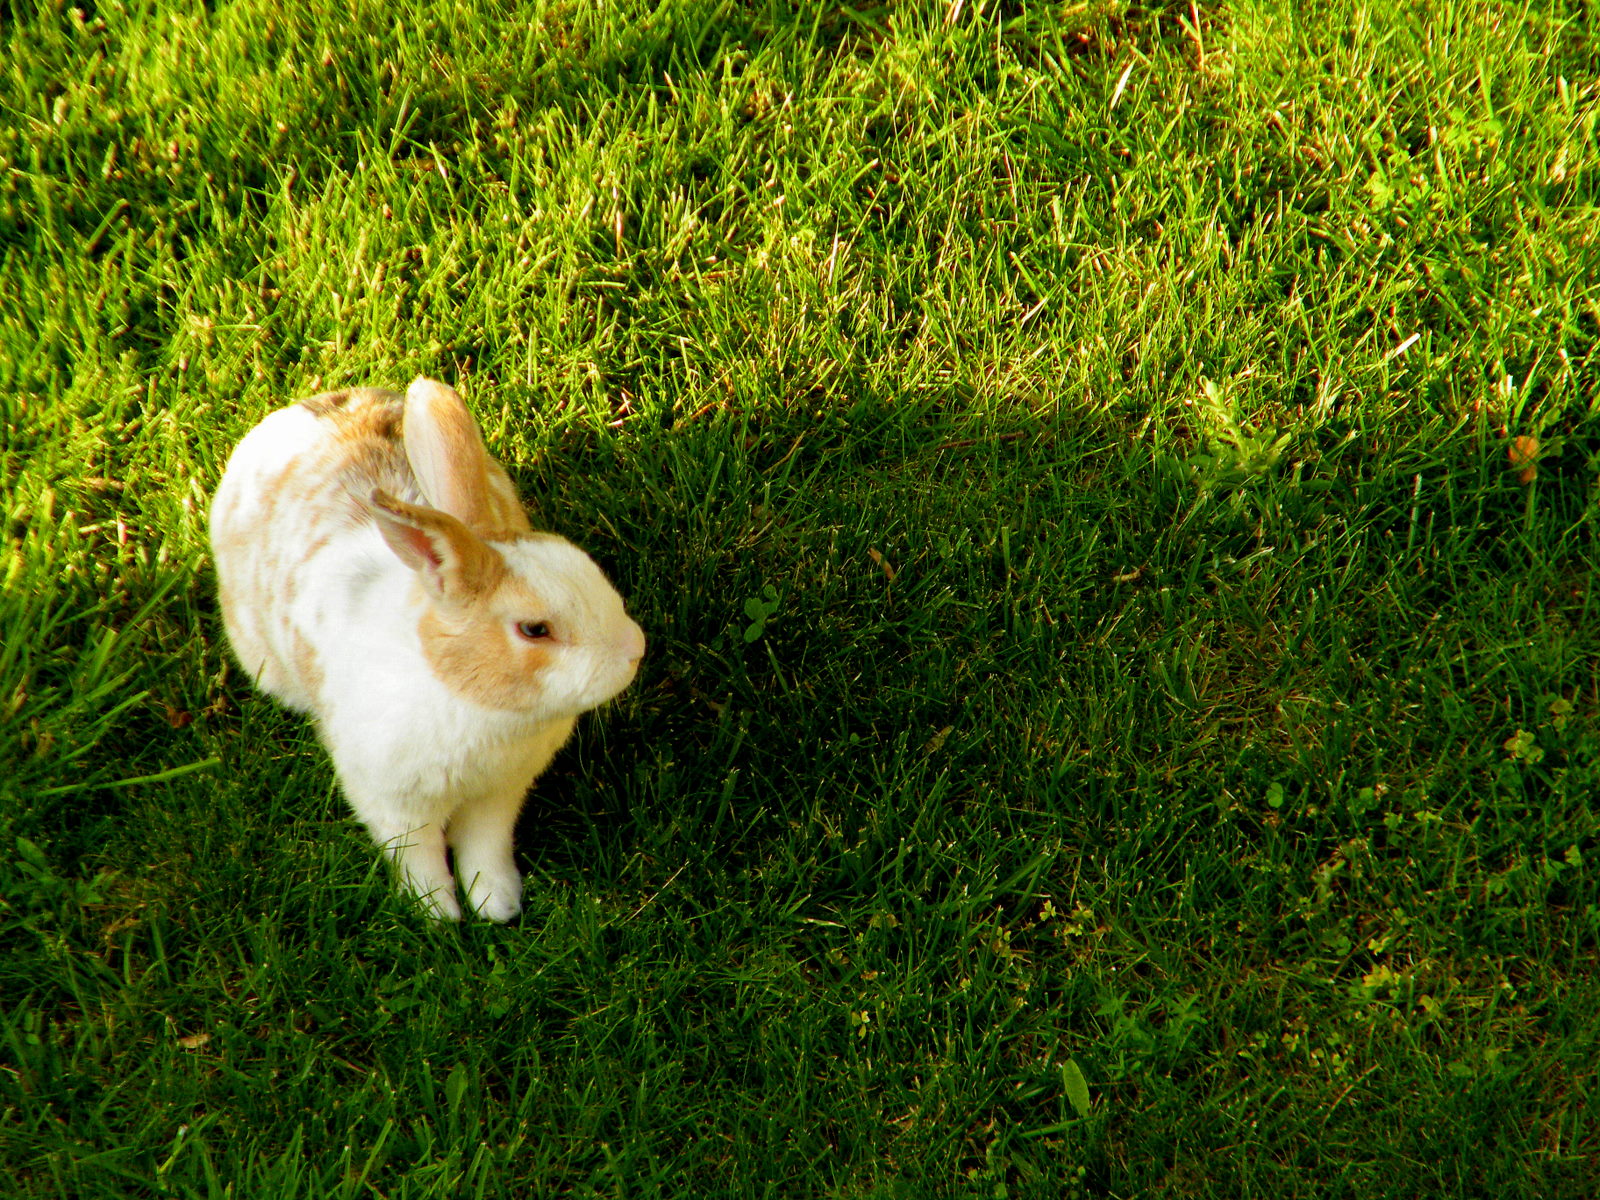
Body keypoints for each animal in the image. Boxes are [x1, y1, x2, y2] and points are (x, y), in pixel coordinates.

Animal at [209, 380, 646, 928]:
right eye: (535, 629)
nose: (635, 649)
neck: (465, 695)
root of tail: (304, 409)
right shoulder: (391, 802)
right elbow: (417, 855)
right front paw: (437, 913)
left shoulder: (497, 796)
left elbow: (484, 846)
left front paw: (496, 903)